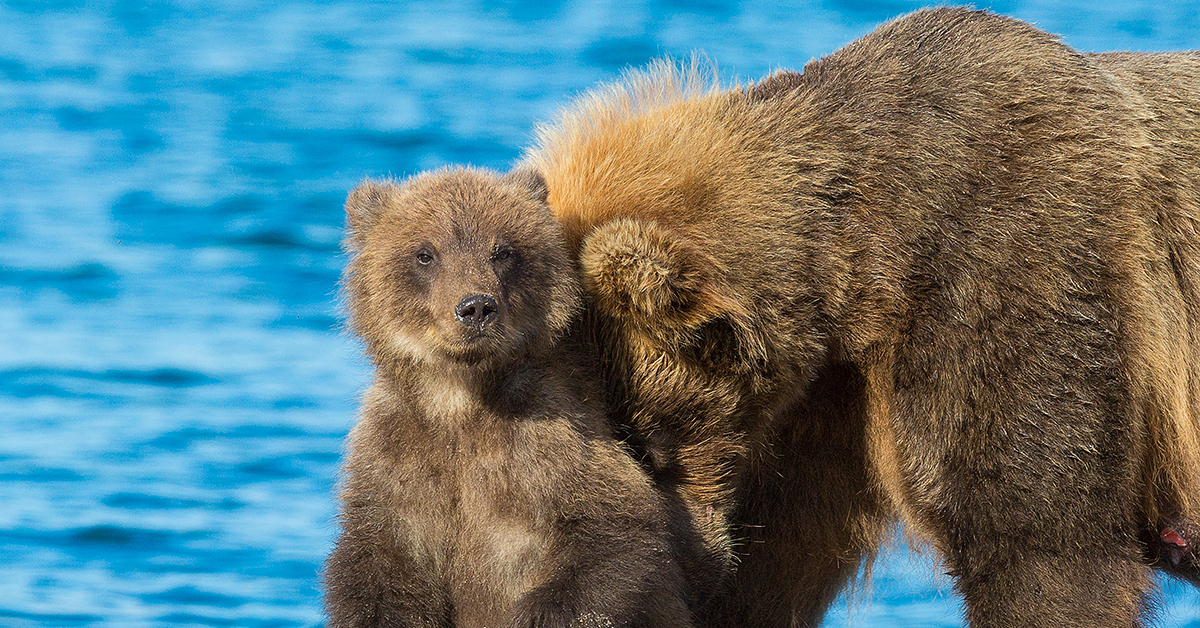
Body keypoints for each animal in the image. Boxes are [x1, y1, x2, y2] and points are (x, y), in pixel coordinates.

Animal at [523, 6, 1200, 628]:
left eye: (645, 436)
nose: (665, 584)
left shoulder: (1013, 269)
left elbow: (1040, 547)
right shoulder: (826, 412)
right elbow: (779, 560)